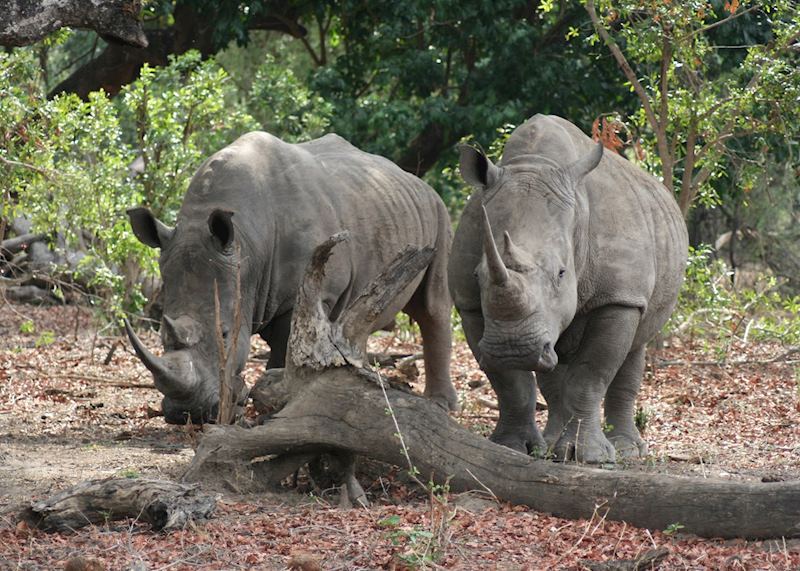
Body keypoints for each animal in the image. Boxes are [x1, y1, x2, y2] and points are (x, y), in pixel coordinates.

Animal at [126, 131, 457, 424]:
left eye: (224, 334)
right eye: (162, 336)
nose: (187, 415)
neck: (246, 245)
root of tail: (417, 181)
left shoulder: (313, 292)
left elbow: (286, 347)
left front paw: (274, 404)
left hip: (439, 212)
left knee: (433, 306)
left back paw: (441, 405)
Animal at [449, 114, 688, 463]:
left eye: (562, 273)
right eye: (478, 275)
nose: (512, 348)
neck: (536, 164)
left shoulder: (618, 297)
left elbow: (591, 374)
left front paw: (591, 457)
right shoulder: (468, 302)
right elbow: (511, 384)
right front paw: (511, 447)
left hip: (638, 285)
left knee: (635, 346)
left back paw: (627, 451)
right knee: (553, 367)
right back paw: (550, 447)